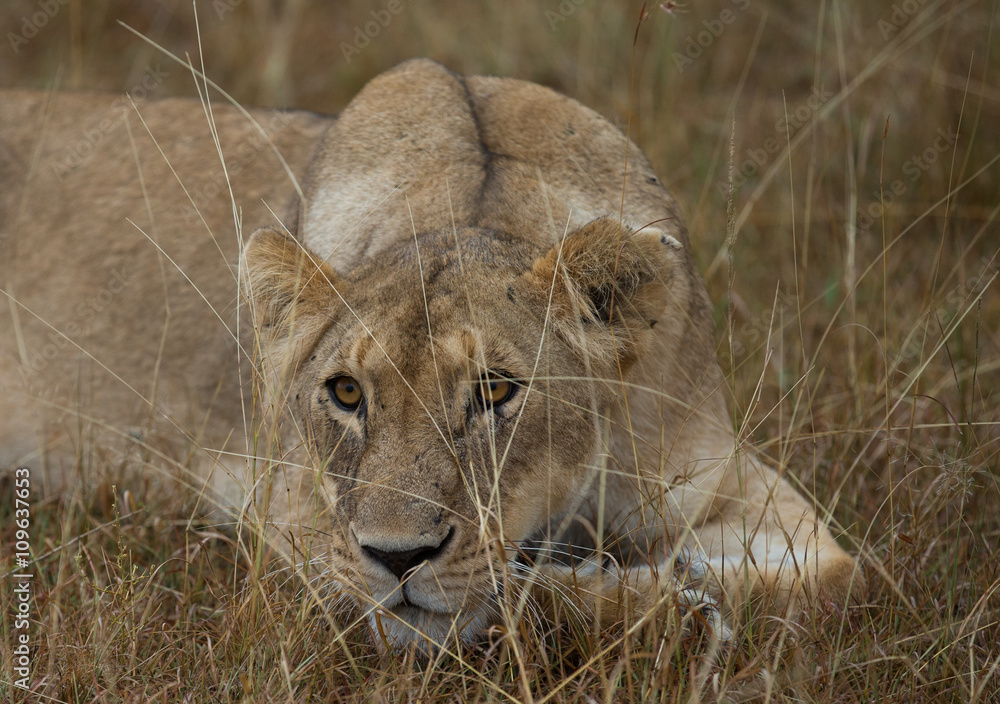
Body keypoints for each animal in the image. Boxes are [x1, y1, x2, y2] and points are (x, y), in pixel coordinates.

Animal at [0, 59, 863, 650]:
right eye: (346, 393)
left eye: (495, 391)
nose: (399, 558)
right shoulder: (286, 508)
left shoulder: (730, 485)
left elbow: (828, 583)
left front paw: (639, 584)